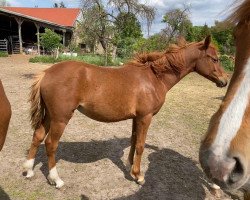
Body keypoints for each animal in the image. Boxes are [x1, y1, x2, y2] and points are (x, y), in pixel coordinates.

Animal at [23, 36, 229, 189]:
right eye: (214, 59)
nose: (224, 80)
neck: (154, 78)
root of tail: (47, 72)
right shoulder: (145, 117)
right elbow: (140, 145)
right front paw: (139, 176)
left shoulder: (136, 118)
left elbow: (133, 140)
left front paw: (131, 167)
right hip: (61, 118)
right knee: (51, 144)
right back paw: (55, 179)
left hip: (49, 116)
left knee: (37, 136)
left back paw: (29, 170)